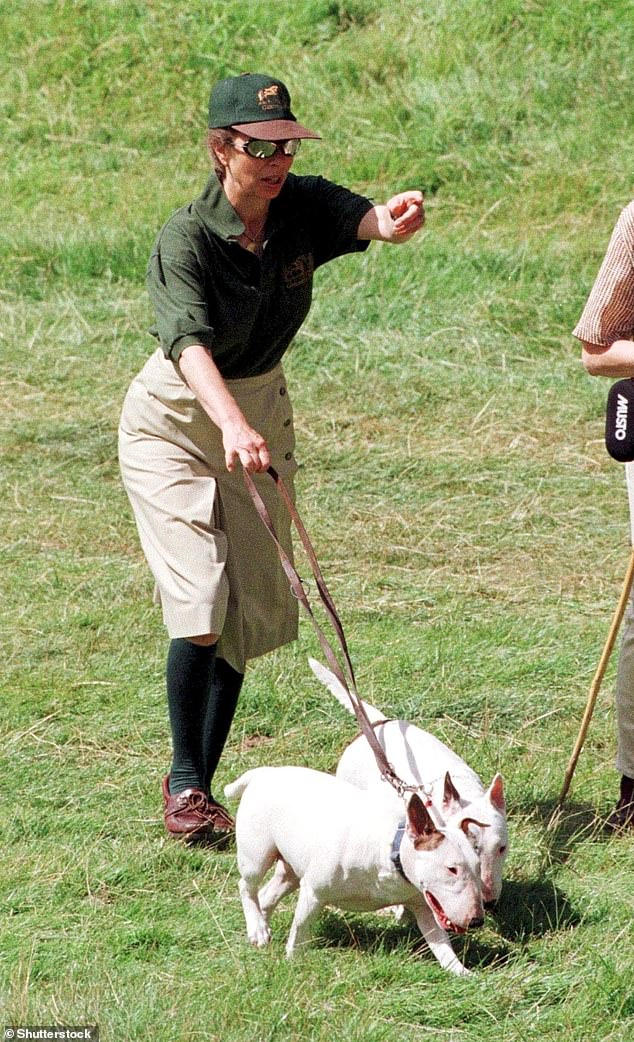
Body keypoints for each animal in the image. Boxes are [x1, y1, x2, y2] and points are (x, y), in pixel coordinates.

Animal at [226, 766, 485, 975]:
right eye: (452, 869)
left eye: (477, 866)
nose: (477, 921)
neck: (389, 852)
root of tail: (264, 772)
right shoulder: (314, 892)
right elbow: (300, 927)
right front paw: (293, 960)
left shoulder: (422, 905)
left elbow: (440, 942)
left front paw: (461, 972)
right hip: (256, 854)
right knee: (246, 885)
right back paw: (257, 928)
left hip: (290, 869)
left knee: (266, 894)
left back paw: (260, 928)